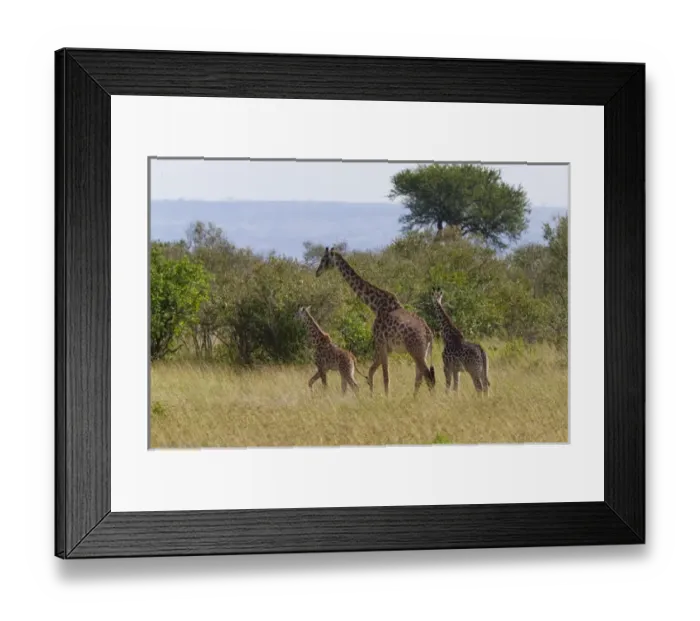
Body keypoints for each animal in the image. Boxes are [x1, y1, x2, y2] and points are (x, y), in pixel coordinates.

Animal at [315, 247, 436, 396]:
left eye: (324, 259)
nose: (317, 272)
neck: (375, 305)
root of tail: (429, 333)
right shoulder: (387, 347)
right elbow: (371, 371)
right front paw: (372, 395)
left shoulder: (381, 342)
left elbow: (385, 376)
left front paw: (385, 397)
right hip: (423, 352)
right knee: (420, 377)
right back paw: (415, 398)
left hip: (415, 351)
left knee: (427, 377)